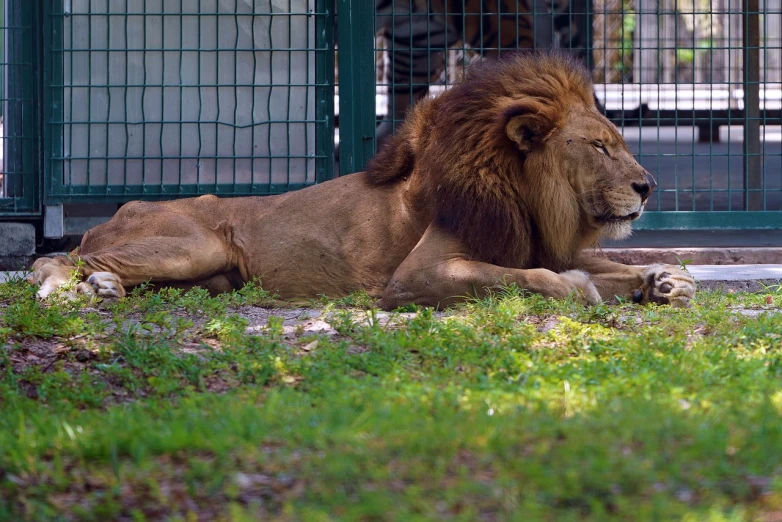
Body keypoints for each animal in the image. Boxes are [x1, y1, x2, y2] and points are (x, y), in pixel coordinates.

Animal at [27, 51, 696, 306]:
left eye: (620, 144)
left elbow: (615, 265)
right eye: (599, 146)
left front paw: (665, 280)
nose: (647, 187)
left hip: (213, 275)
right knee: (52, 259)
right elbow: (531, 279)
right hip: (192, 244)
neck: (530, 198)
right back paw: (70, 289)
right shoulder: (418, 276)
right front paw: (585, 286)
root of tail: (119, 209)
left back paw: (106, 289)